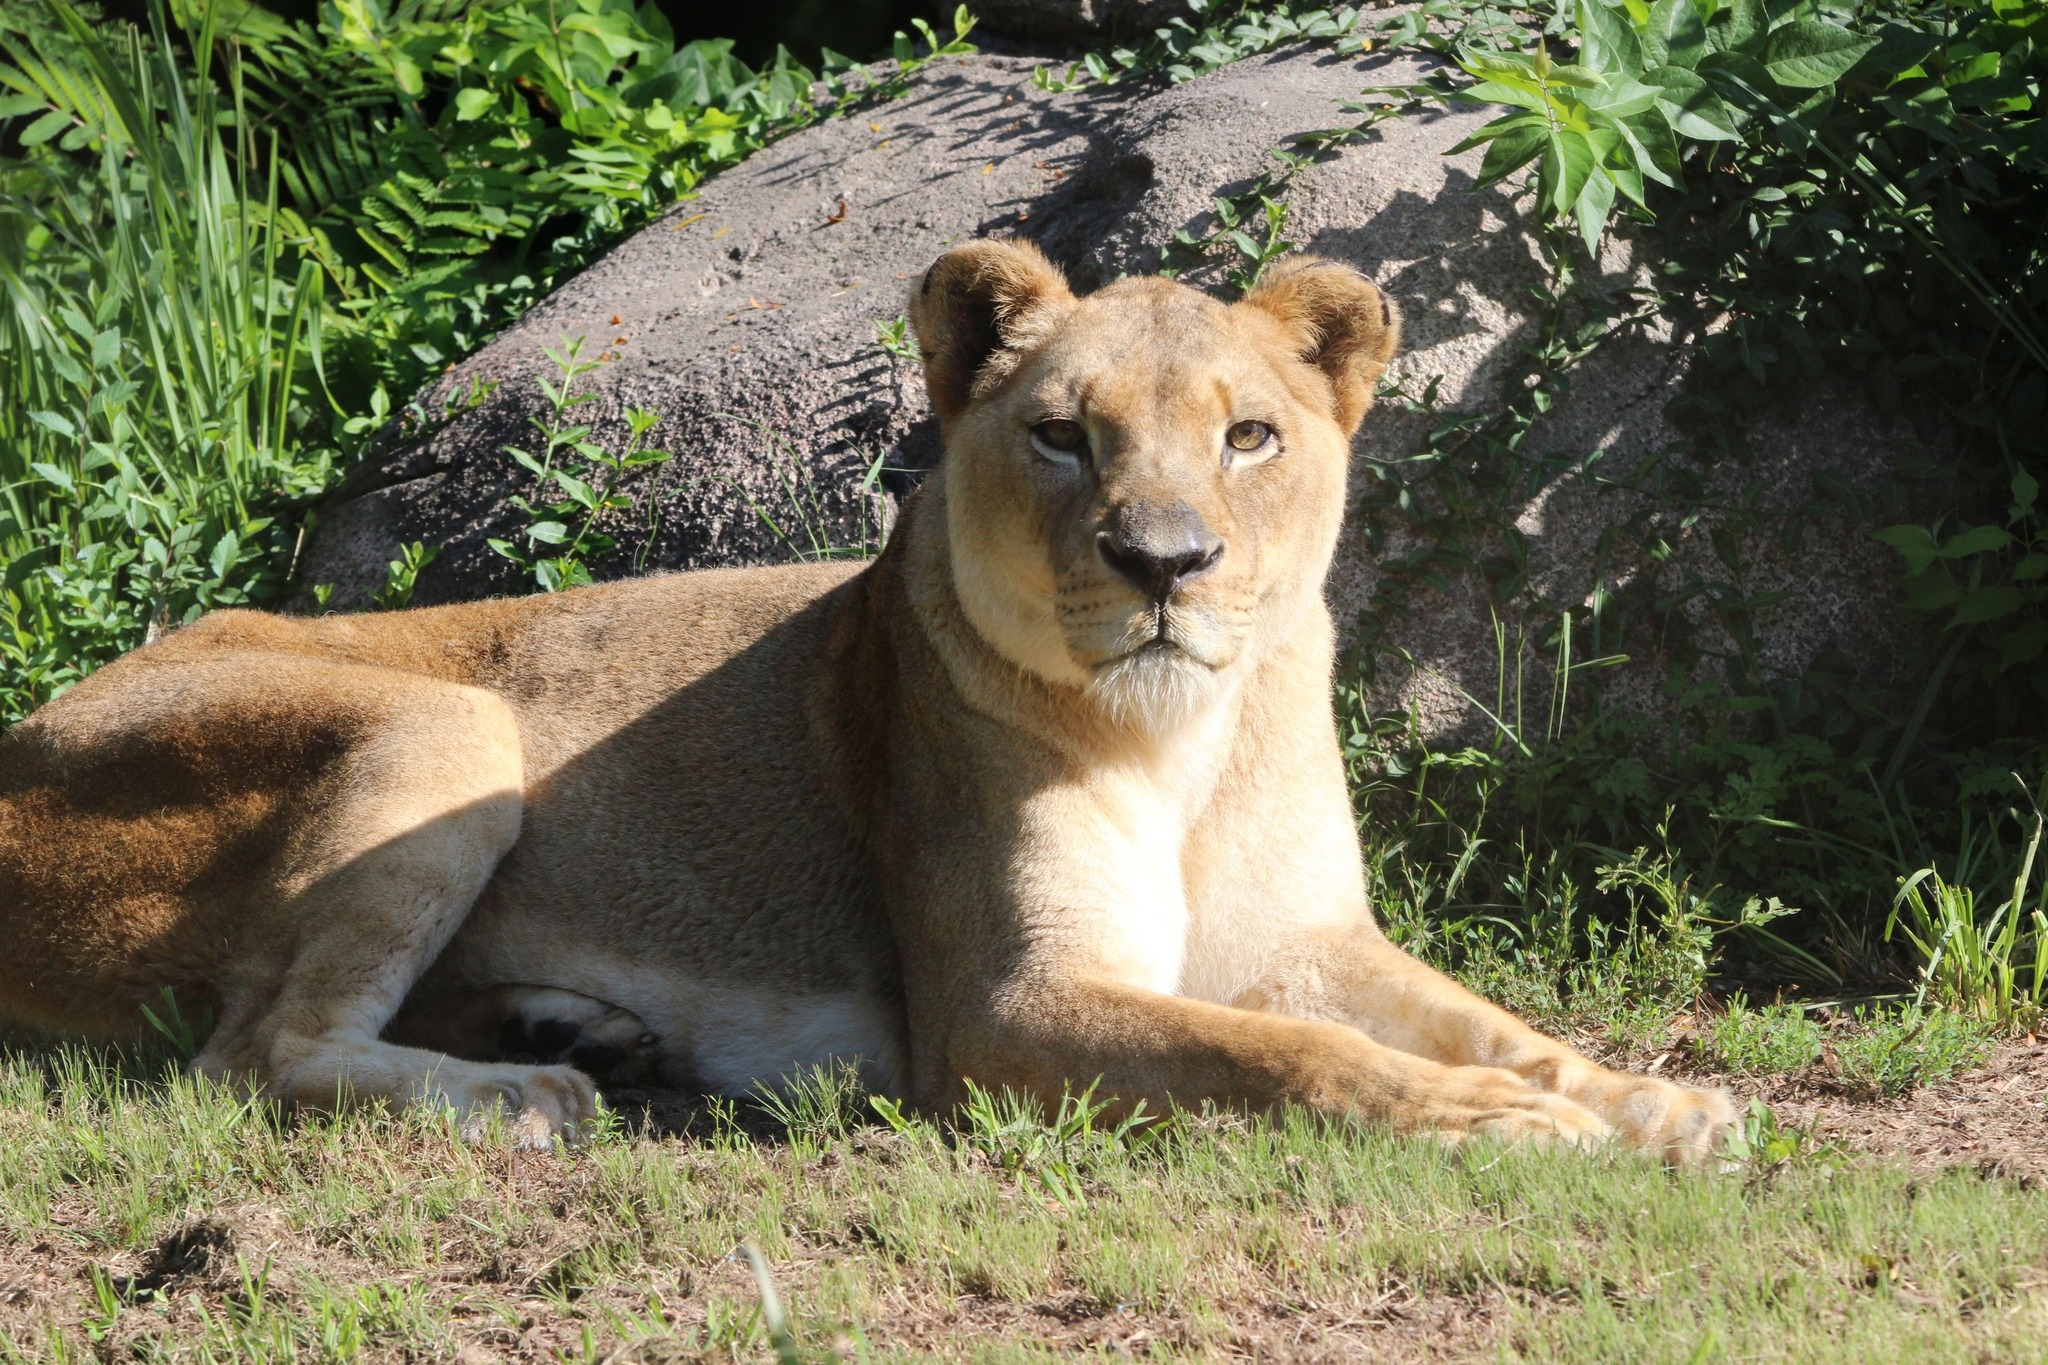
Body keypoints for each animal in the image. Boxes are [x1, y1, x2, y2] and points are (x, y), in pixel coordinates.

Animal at [0, 240, 1736, 1161]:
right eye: (1063, 435)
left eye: (1249, 434)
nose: (1164, 561)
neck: (1186, 737)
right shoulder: (1001, 1011)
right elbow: (1298, 1063)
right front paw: (1517, 1127)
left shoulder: (1309, 940)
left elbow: (1491, 1021)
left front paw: (1652, 1104)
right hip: (450, 724)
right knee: (254, 1053)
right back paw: (531, 1090)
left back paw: (579, 1029)